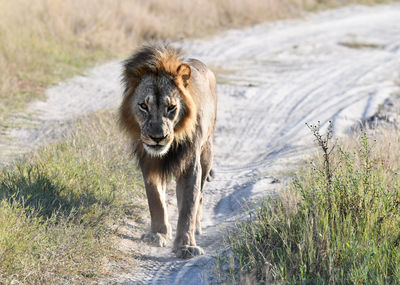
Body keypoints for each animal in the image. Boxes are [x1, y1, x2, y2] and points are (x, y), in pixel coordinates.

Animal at [119, 43, 217, 258]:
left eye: (171, 107)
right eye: (143, 106)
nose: (157, 138)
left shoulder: (190, 164)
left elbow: (188, 206)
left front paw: (186, 245)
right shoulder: (149, 162)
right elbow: (155, 199)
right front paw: (158, 234)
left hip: (207, 152)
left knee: (200, 195)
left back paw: (197, 226)